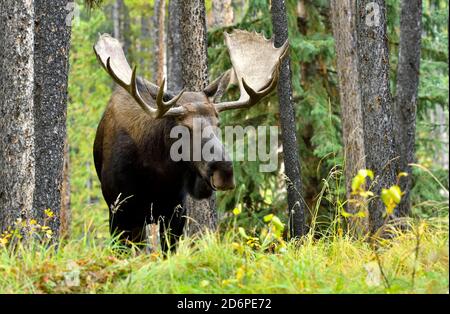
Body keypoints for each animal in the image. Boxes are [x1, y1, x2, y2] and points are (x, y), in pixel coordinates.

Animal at [94, 29, 288, 250]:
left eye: (218, 123)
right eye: (183, 128)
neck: (156, 175)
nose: (224, 171)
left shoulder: (176, 211)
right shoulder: (119, 211)